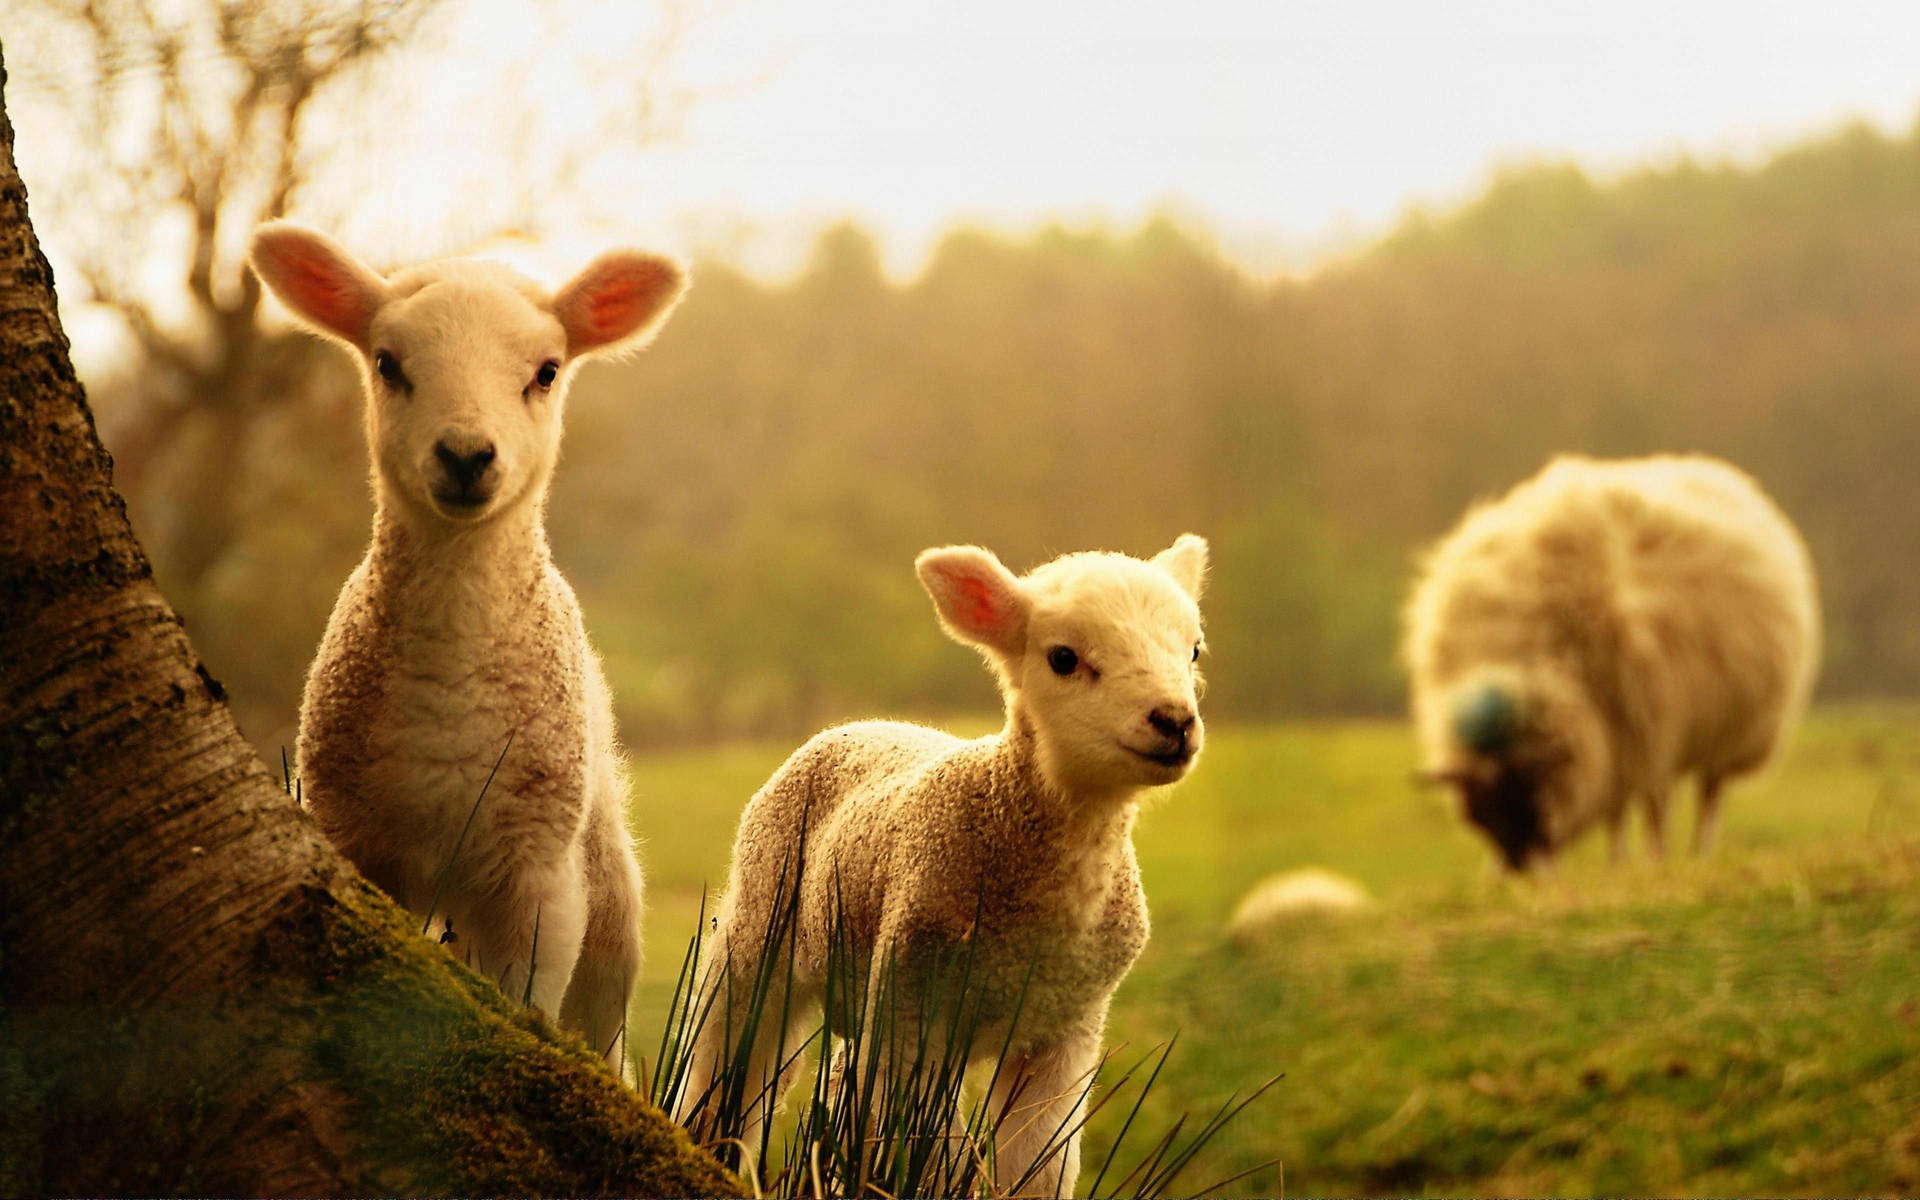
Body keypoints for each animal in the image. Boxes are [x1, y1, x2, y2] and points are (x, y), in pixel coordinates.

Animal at [243, 219, 687, 1059]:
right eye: (388, 364)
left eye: (547, 372)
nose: (466, 456)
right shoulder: (360, 842)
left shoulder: (537, 872)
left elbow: (529, 1002)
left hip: (605, 892)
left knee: (604, 1026)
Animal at [683, 537, 1205, 1198]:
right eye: (1064, 658)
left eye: (1194, 650)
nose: (1175, 722)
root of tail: (859, 723)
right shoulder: (912, 1011)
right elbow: (932, 1157)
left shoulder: (1064, 1032)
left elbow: (1039, 1165)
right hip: (760, 923)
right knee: (727, 1064)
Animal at [1405, 451, 1820, 871]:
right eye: (1479, 815)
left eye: (1531, 794)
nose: (1521, 872)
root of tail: (1714, 470)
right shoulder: (1617, 740)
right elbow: (1616, 809)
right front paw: (1617, 865)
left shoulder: (1642, 727)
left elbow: (1643, 807)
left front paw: (1641, 861)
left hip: (1729, 733)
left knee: (1707, 796)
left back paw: (1694, 852)